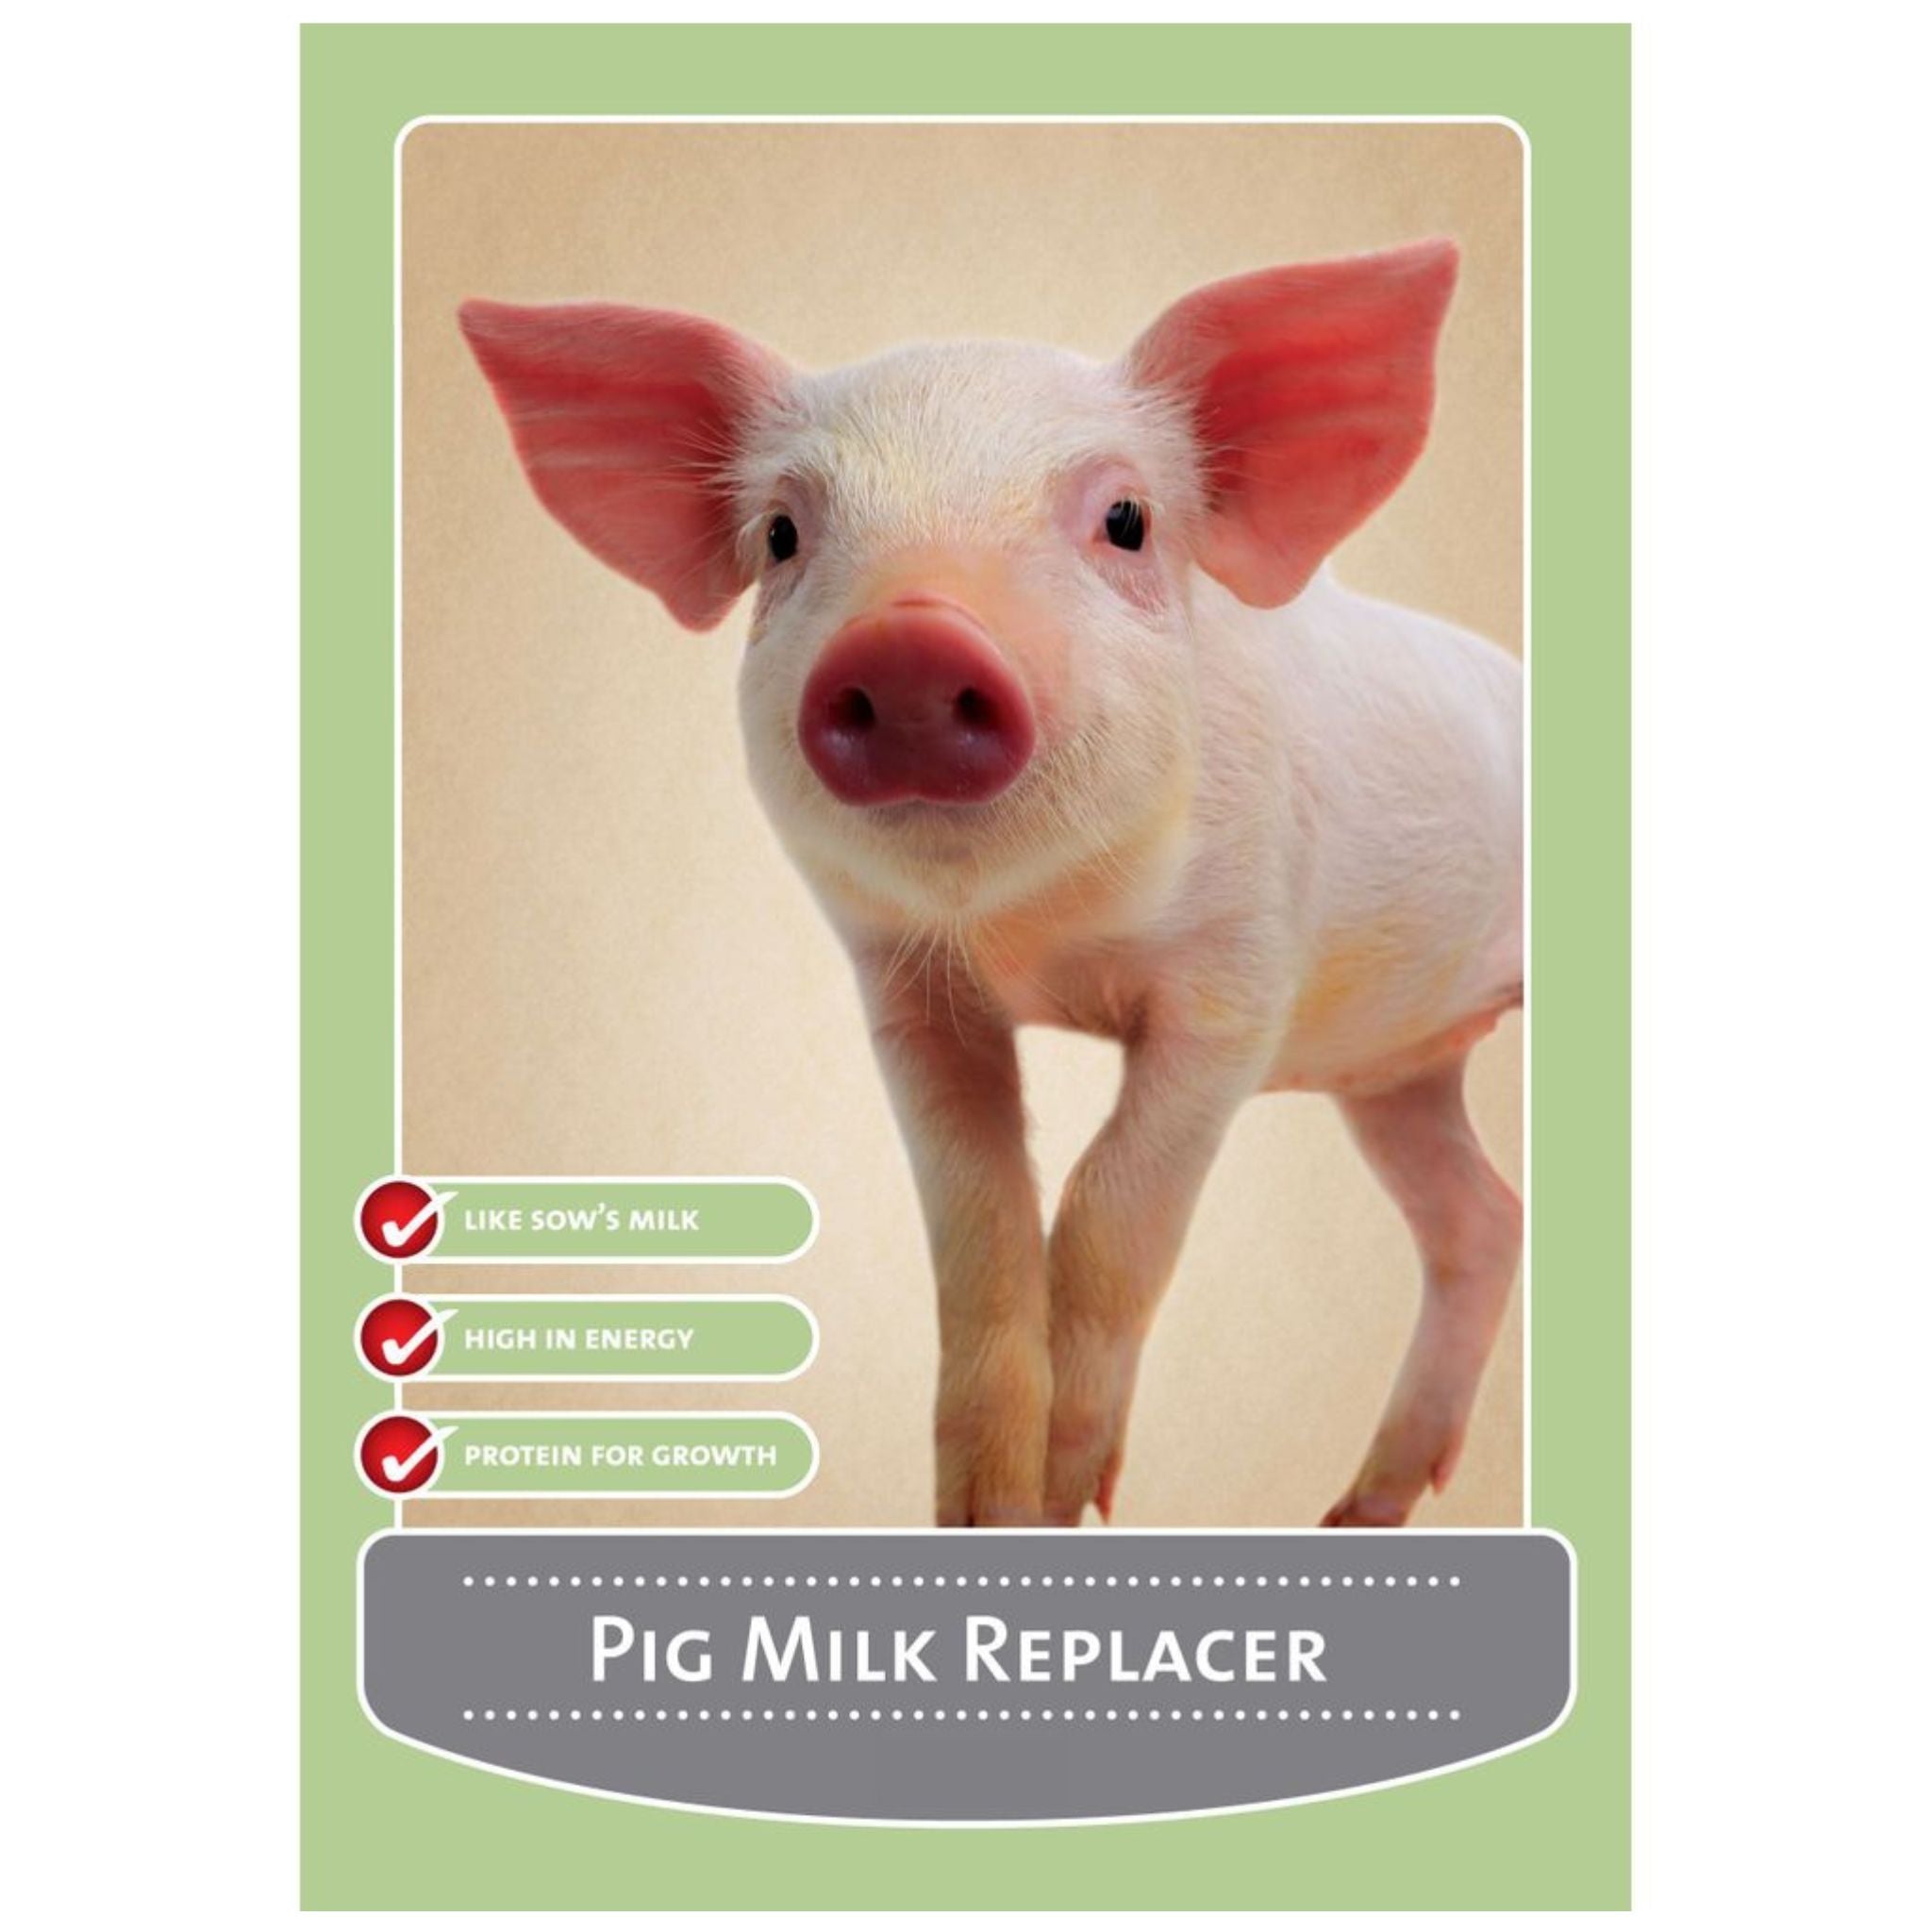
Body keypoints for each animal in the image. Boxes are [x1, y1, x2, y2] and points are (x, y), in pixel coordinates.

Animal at [460, 239, 1522, 1530]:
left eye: (1125, 518)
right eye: (780, 534)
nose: (911, 641)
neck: (1035, 938)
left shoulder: (1238, 981)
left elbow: (1113, 1205)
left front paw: (1068, 1500)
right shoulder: (905, 994)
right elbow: (977, 1219)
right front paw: (981, 1512)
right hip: (1393, 1068)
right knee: (1481, 1218)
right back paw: (1355, 1512)